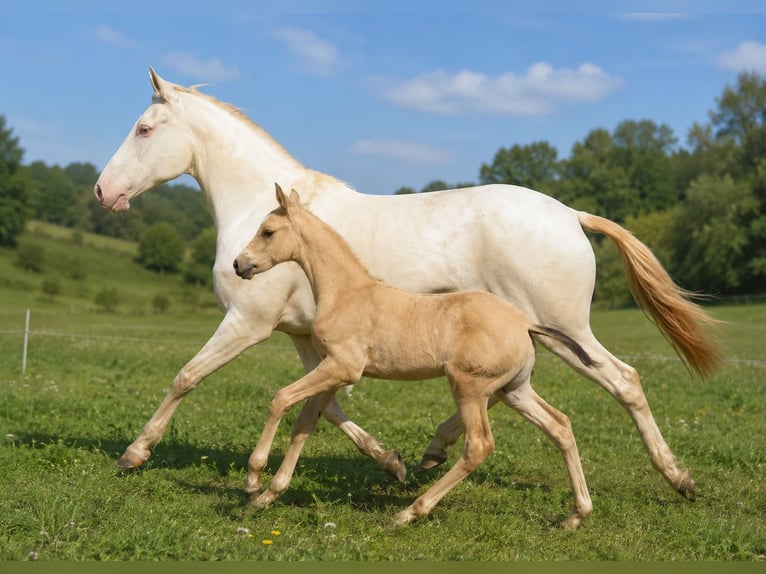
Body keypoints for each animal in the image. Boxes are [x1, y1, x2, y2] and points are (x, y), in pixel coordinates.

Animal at [233, 184, 596, 526]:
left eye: (267, 231)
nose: (239, 264)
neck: (346, 293)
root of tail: (524, 323)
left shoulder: (343, 367)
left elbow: (281, 399)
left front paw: (253, 484)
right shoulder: (333, 373)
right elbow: (305, 424)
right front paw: (269, 494)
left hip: (470, 387)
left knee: (479, 446)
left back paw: (408, 512)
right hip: (514, 390)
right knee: (560, 426)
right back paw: (576, 516)